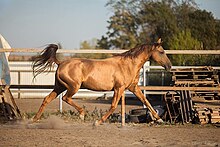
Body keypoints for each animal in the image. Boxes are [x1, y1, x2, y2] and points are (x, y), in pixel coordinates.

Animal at [32, 38, 172, 124]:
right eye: (161, 52)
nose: (169, 66)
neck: (128, 65)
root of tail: (61, 63)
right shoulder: (119, 88)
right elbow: (113, 106)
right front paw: (98, 122)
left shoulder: (133, 87)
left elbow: (146, 101)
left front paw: (159, 119)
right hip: (73, 87)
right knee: (66, 98)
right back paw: (82, 114)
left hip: (59, 87)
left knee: (47, 99)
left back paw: (34, 119)